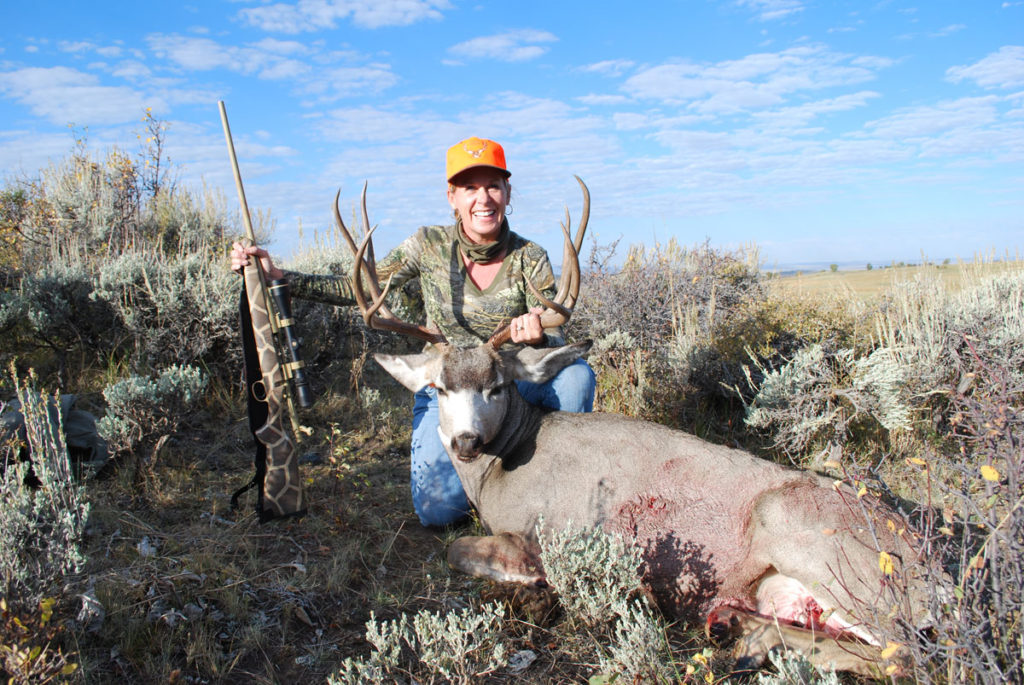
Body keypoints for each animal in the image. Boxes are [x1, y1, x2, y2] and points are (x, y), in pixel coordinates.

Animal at [333, 181, 938, 677]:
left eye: (498, 386)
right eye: (437, 389)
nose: (465, 442)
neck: (506, 465)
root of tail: (930, 566)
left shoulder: (559, 527)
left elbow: (459, 550)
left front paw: (535, 581)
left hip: (819, 549)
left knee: (904, 654)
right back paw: (738, 629)